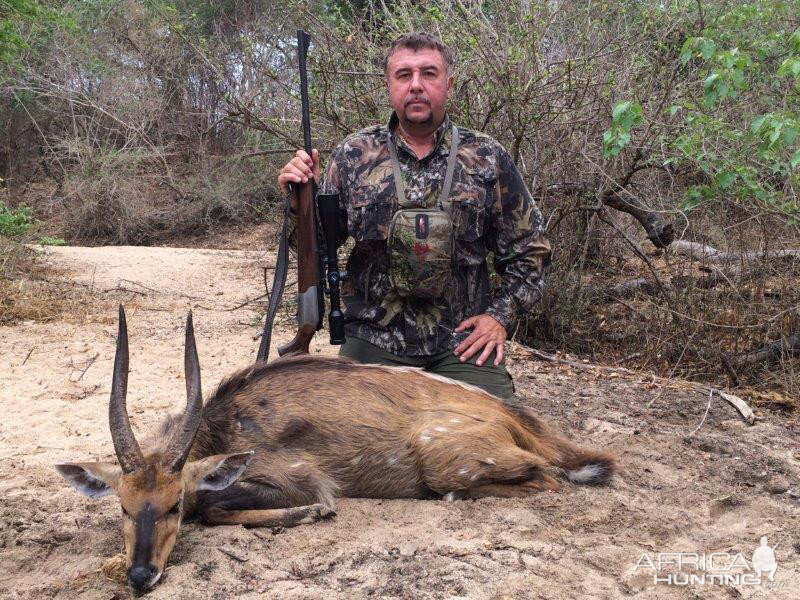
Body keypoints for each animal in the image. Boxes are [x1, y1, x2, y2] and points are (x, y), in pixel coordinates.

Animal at [56, 308, 616, 592]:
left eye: (173, 504)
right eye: (123, 507)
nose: (140, 576)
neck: (226, 424)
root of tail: (513, 417)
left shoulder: (300, 478)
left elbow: (216, 505)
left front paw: (309, 515)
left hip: (443, 462)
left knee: (548, 476)